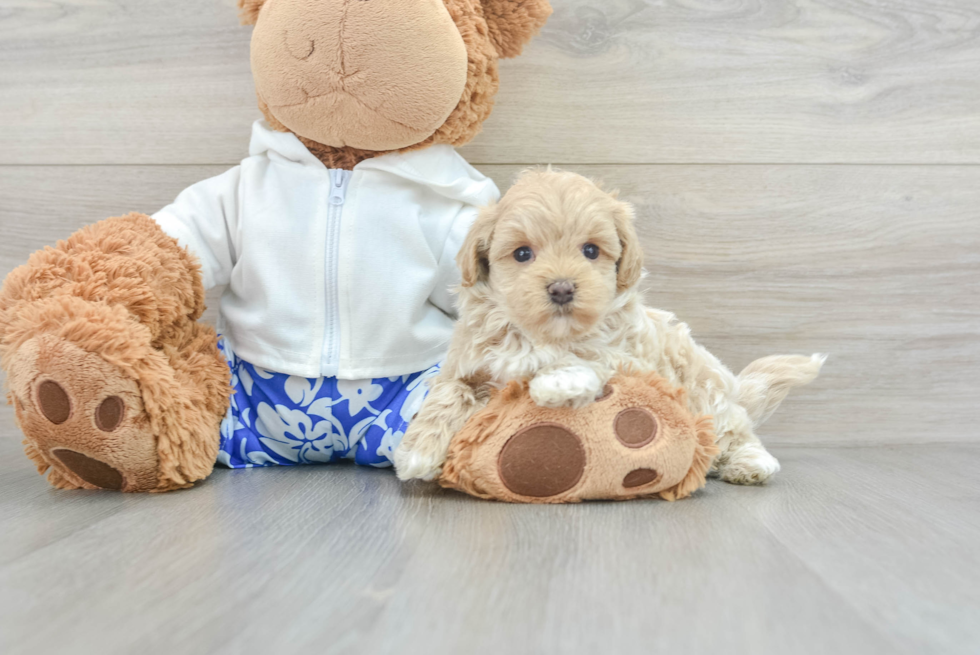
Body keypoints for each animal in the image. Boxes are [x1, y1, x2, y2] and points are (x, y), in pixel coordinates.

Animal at [394, 169, 824, 486]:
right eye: (522, 254)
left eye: (590, 250)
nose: (562, 288)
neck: (540, 334)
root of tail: (732, 387)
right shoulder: (465, 363)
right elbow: (446, 394)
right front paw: (417, 452)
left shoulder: (627, 356)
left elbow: (588, 356)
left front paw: (558, 380)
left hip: (706, 393)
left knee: (734, 430)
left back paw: (750, 464)